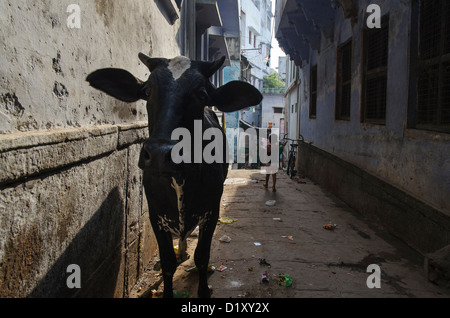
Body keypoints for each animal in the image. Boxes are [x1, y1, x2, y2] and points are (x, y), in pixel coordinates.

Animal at [86, 53, 262, 296]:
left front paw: (204, 289)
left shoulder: (212, 211)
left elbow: (202, 257)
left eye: (202, 94)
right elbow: (167, 262)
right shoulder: (155, 215)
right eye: (147, 91)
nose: (160, 154)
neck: (180, 181)